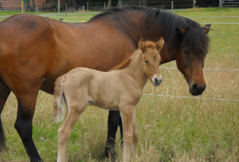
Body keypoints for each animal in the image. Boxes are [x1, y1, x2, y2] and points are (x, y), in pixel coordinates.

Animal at [0, 6, 209, 161]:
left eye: (204, 52)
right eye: (187, 51)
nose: (199, 87)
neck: (128, 30)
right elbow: (115, 123)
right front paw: (111, 153)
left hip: (4, 89)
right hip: (27, 93)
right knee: (23, 126)